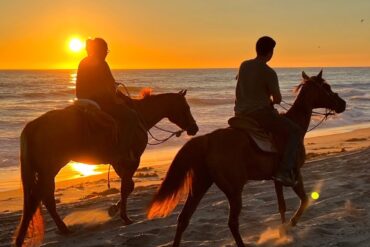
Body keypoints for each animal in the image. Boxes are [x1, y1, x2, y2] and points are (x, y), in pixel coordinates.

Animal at [14, 89, 199, 246]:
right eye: (186, 107)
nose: (194, 128)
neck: (140, 115)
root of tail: (33, 125)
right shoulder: (132, 160)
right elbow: (126, 187)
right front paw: (124, 216)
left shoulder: (119, 163)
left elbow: (129, 186)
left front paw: (114, 209)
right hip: (50, 168)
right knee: (40, 197)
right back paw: (54, 230)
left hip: (46, 170)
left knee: (43, 197)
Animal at [147, 70, 346, 246]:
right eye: (326, 87)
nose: (342, 103)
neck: (295, 125)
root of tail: (207, 140)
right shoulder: (295, 174)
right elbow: (304, 201)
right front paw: (289, 226)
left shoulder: (278, 179)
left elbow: (282, 206)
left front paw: (283, 230)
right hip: (234, 191)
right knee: (232, 223)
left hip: (200, 185)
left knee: (184, 219)